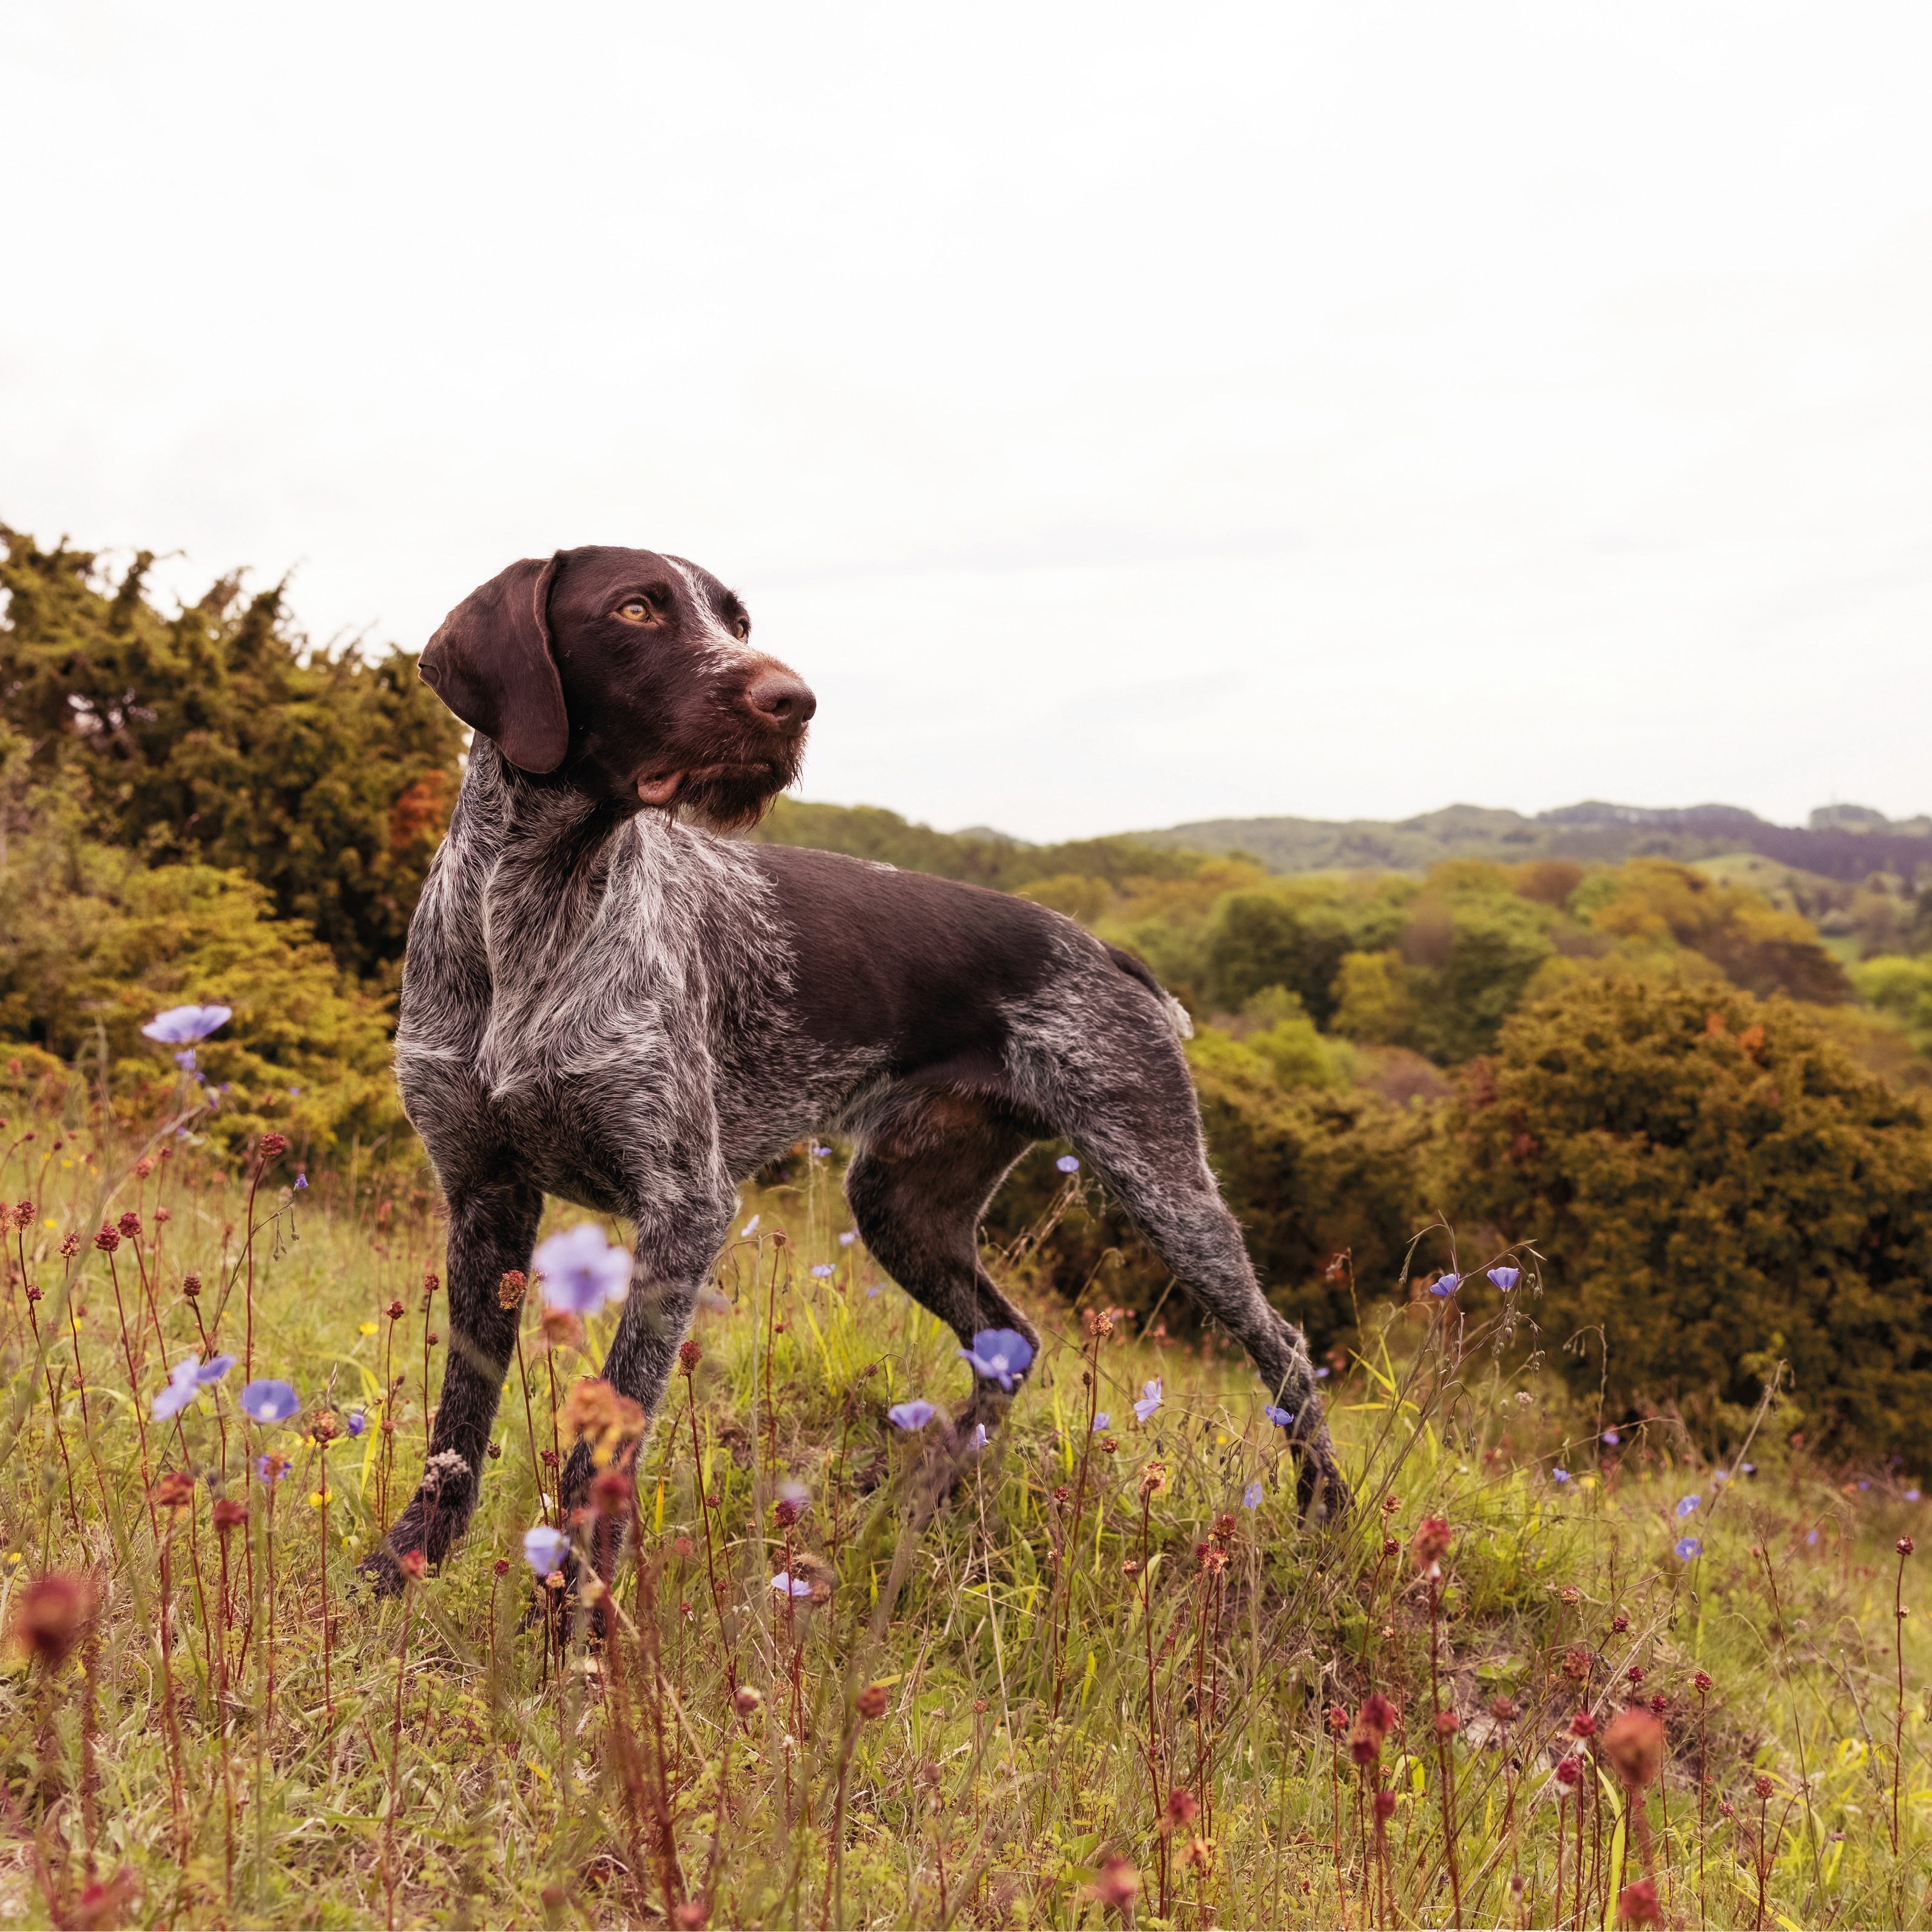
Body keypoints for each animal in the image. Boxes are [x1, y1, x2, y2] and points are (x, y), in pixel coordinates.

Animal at [373, 544, 1345, 1584]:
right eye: (636, 609)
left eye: (739, 624)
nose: (794, 700)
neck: (532, 909)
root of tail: (1106, 949)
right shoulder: (485, 1194)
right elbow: (457, 1419)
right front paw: (405, 1568)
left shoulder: (683, 1204)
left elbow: (608, 1435)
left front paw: (573, 1595)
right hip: (903, 1204)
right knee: (1013, 1342)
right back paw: (923, 1493)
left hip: (1163, 1186)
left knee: (1284, 1346)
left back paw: (1327, 1514)